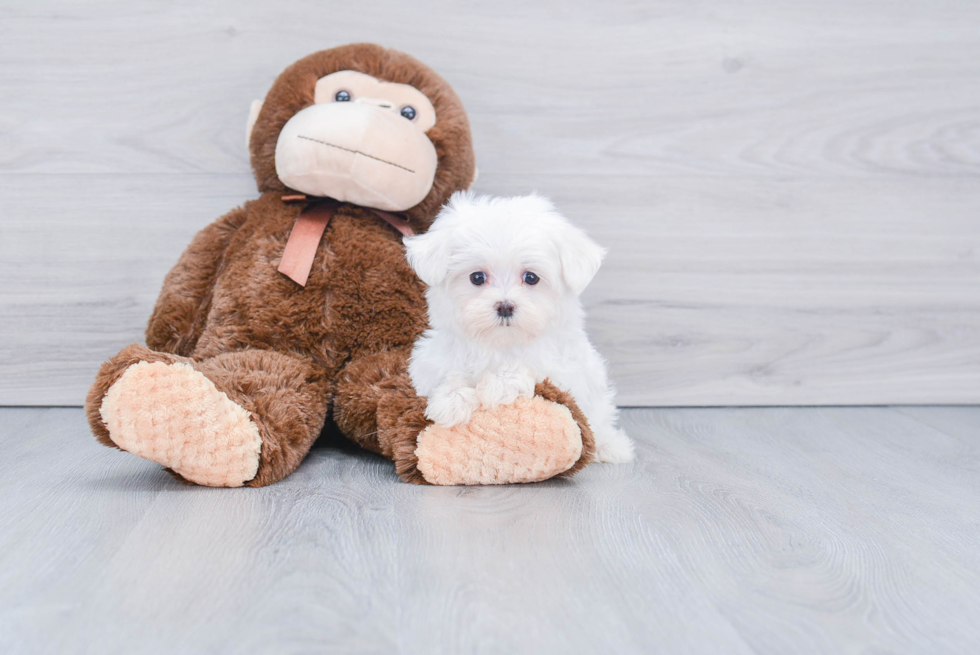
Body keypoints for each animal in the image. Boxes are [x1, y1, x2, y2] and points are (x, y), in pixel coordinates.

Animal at [404, 192, 636, 464]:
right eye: (477, 278)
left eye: (531, 278)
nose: (505, 306)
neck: (501, 343)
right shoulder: (431, 362)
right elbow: (450, 372)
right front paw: (452, 400)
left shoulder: (563, 371)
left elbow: (528, 367)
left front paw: (497, 385)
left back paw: (609, 445)